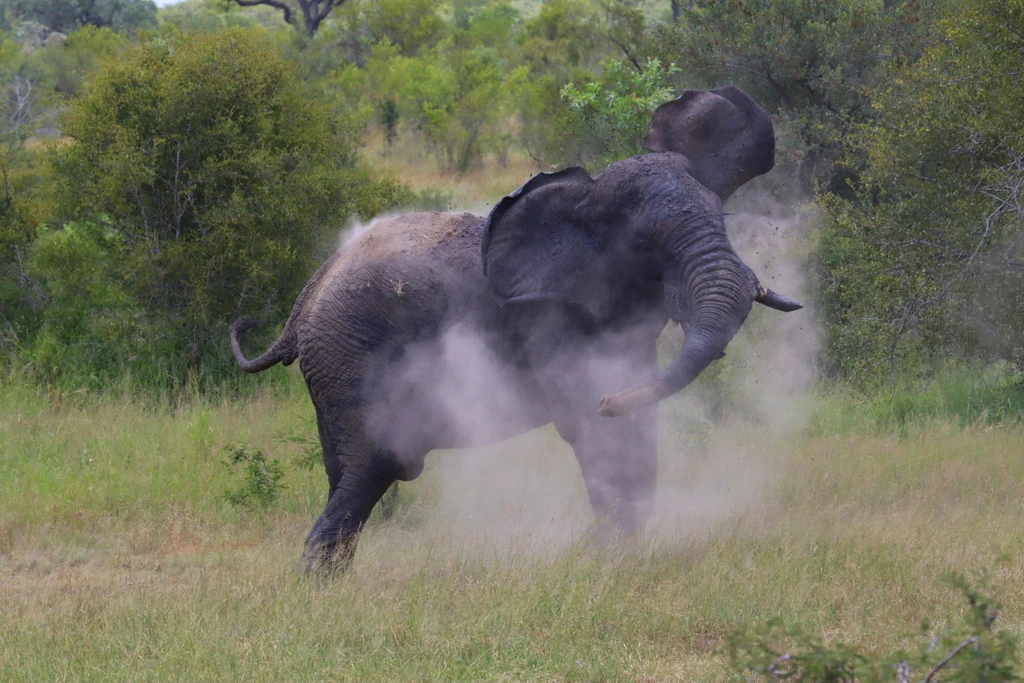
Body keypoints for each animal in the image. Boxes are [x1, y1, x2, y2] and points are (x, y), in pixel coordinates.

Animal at [230, 85, 798, 573]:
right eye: (644, 244)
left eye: (721, 219)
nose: (607, 400)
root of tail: (309, 293)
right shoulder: (550, 317)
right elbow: (591, 428)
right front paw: (605, 558)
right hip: (350, 352)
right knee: (372, 466)